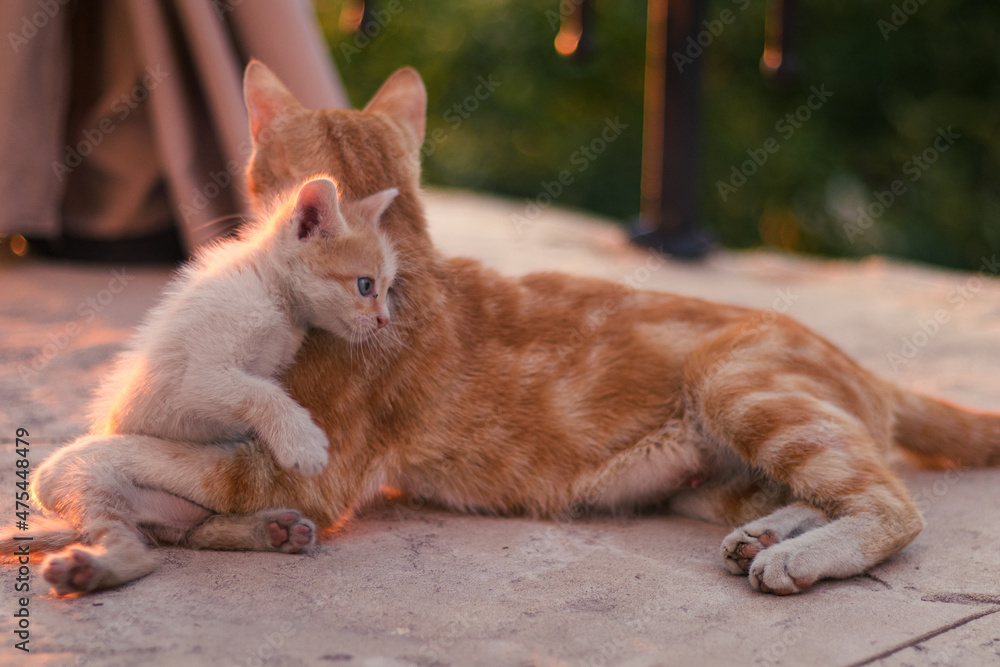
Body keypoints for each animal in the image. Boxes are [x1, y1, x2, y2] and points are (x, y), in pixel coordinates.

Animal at [17, 61, 1000, 596]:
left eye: (378, 288)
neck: (409, 253)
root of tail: (868, 368)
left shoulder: (302, 470)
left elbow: (95, 455)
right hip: (703, 479)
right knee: (817, 490)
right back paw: (771, 535)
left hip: (737, 381)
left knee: (892, 504)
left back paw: (801, 557)